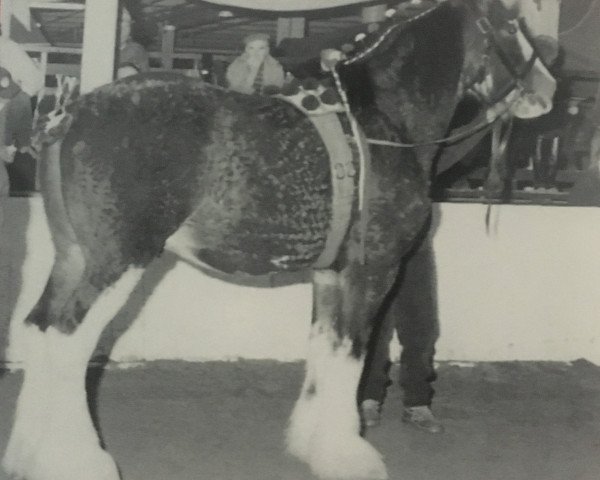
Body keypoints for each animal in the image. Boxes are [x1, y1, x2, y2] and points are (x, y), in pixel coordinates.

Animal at [4, 0, 556, 480]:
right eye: (510, 23)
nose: (547, 89)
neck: (381, 121)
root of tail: (71, 114)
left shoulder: (330, 275)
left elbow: (325, 351)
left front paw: (313, 444)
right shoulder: (371, 271)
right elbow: (352, 354)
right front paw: (350, 455)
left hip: (73, 257)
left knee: (37, 329)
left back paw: (27, 455)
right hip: (119, 260)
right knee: (68, 341)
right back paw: (80, 462)